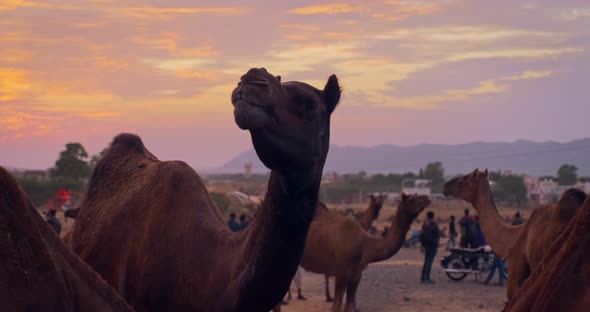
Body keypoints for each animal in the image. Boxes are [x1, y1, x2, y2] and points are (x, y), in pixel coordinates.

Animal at [300, 194, 430, 310]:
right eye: (411, 198)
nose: (426, 198)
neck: (364, 244)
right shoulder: (341, 272)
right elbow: (336, 307)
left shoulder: (357, 274)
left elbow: (350, 306)